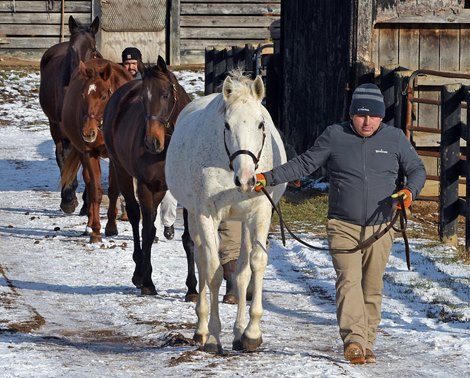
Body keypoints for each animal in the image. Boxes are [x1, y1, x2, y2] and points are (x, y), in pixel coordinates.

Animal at [39, 15, 100, 216]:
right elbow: (67, 158)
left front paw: (87, 203)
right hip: (54, 126)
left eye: (93, 49)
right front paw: (69, 199)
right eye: (72, 49)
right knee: (61, 156)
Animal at [59, 59, 132, 242]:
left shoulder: (115, 157)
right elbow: (96, 193)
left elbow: (113, 191)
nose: (88, 132)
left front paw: (111, 227)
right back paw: (89, 225)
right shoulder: (89, 154)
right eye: (82, 96)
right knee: (90, 184)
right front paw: (97, 231)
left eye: (104, 96)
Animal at [103, 55, 198, 302]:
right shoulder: (146, 186)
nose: (151, 142)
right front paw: (147, 282)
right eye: (143, 99)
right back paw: (140, 272)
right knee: (137, 219)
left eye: (165, 94)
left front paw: (192, 288)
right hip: (123, 173)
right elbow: (145, 230)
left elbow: (189, 239)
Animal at [167, 71, 288, 352]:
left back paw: (238, 332)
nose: (245, 179)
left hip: (242, 221)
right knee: (201, 262)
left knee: (242, 272)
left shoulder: (260, 214)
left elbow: (256, 265)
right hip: (194, 217)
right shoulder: (206, 215)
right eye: (227, 126)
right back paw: (201, 331)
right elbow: (213, 272)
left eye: (260, 124)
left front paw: (251, 333)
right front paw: (213, 335)